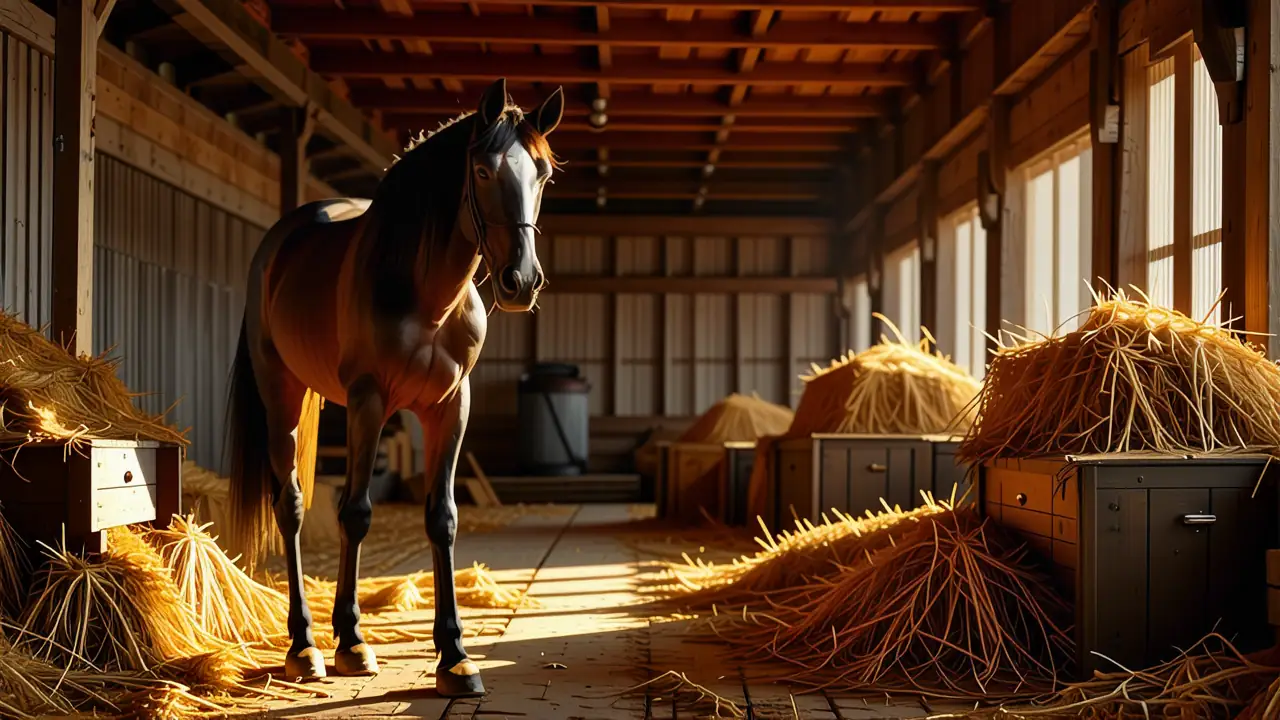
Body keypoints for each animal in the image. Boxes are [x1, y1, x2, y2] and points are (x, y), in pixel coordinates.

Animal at [225, 78, 563, 698]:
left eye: (544, 174)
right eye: (482, 170)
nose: (521, 281)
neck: (425, 296)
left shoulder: (450, 407)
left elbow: (442, 518)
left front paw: (455, 655)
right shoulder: (369, 401)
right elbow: (355, 512)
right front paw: (352, 642)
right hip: (281, 395)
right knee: (292, 507)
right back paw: (304, 645)